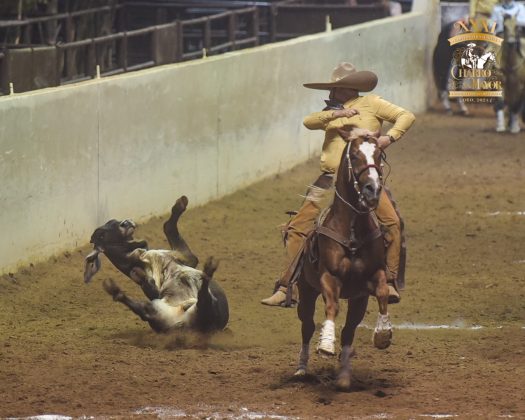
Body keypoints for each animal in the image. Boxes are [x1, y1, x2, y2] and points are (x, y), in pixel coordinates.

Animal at [292, 127, 390, 390]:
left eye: (379, 155)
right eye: (354, 156)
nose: (372, 189)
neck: (353, 229)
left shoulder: (373, 277)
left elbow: (383, 294)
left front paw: (383, 334)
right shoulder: (329, 277)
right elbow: (331, 307)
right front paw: (326, 344)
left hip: (358, 300)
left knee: (348, 330)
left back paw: (344, 375)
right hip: (306, 291)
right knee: (307, 326)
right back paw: (301, 368)